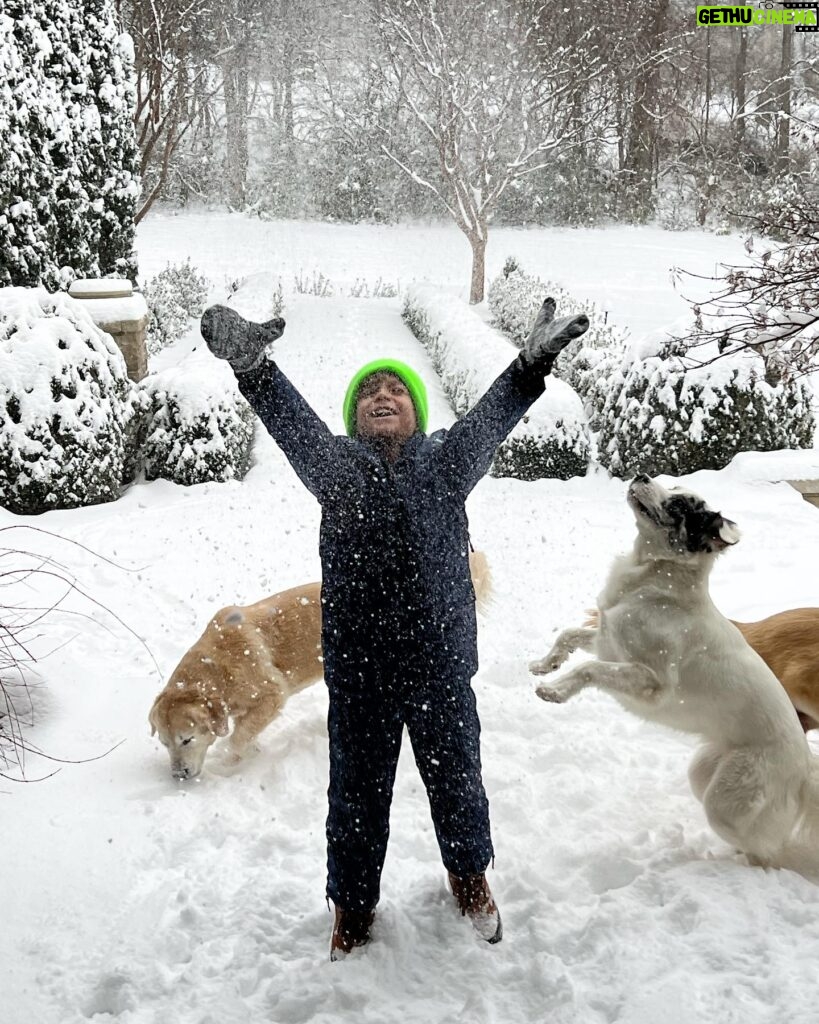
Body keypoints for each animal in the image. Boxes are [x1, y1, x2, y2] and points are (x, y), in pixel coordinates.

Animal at [148, 552, 493, 774]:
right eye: (164, 743)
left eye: (187, 739)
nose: (178, 775)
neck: (217, 668)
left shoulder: (272, 694)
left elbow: (238, 735)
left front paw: (232, 760)